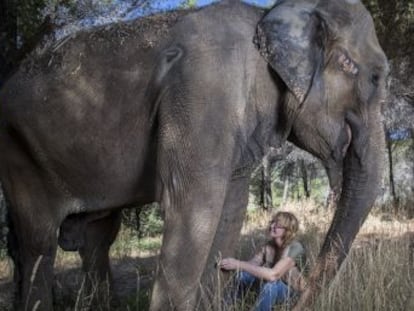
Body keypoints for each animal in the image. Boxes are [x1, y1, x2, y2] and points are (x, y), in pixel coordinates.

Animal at [0, 0, 388, 310]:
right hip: (17, 150)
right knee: (39, 241)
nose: (295, 297)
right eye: (374, 76)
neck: (268, 16)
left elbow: (231, 209)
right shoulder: (203, 92)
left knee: (96, 238)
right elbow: (194, 204)